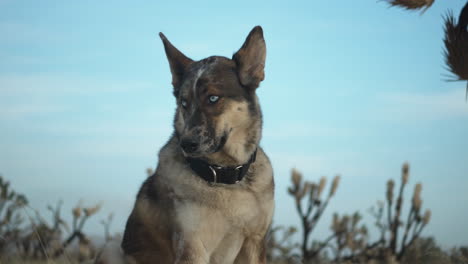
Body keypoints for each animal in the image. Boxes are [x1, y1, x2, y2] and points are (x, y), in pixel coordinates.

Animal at [97, 25, 276, 264]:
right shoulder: (192, 245)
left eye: (213, 98)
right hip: (111, 248)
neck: (225, 176)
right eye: (183, 102)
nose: (187, 144)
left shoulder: (254, 242)